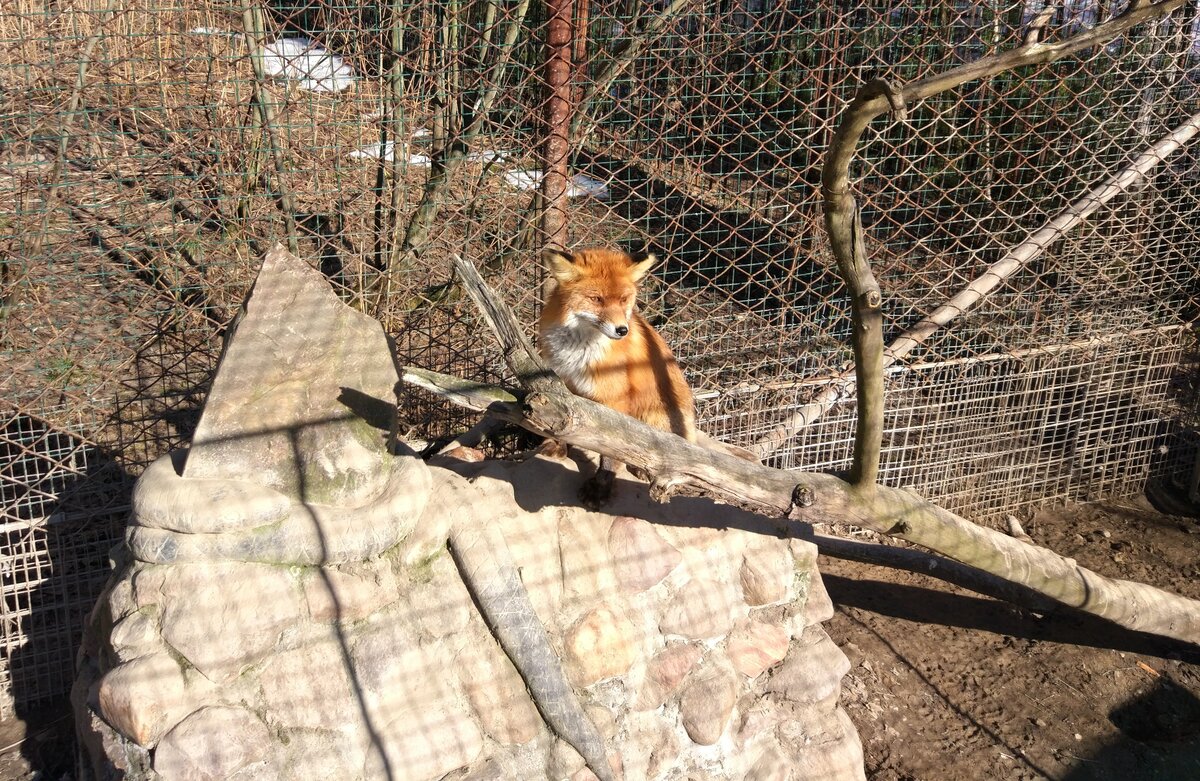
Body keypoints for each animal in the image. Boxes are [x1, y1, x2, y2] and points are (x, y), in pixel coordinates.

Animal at [542, 247, 700, 511]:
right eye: (596, 299)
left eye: (624, 300)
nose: (622, 330)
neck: (579, 352)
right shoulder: (564, 385)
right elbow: (564, 423)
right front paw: (558, 446)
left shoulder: (614, 400)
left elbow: (609, 456)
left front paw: (599, 490)